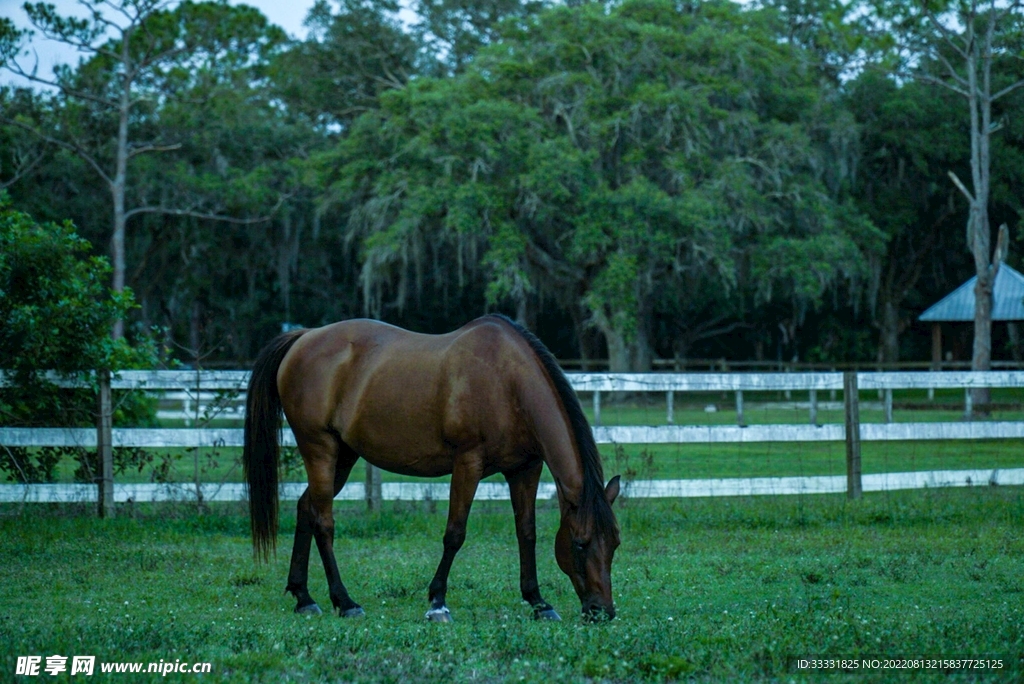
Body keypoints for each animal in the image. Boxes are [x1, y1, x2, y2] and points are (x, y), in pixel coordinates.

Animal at [242, 314, 621, 622]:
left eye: (615, 543)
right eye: (580, 544)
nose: (602, 611)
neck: (507, 380)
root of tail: (304, 337)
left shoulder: (525, 469)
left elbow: (526, 532)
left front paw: (538, 602)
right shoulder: (468, 462)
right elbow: (455, 532)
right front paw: (438, 602)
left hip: (344, 456)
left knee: (306, 507)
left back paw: (304, 597)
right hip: (319, 448)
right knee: (323, 521)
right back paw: (345, 602)